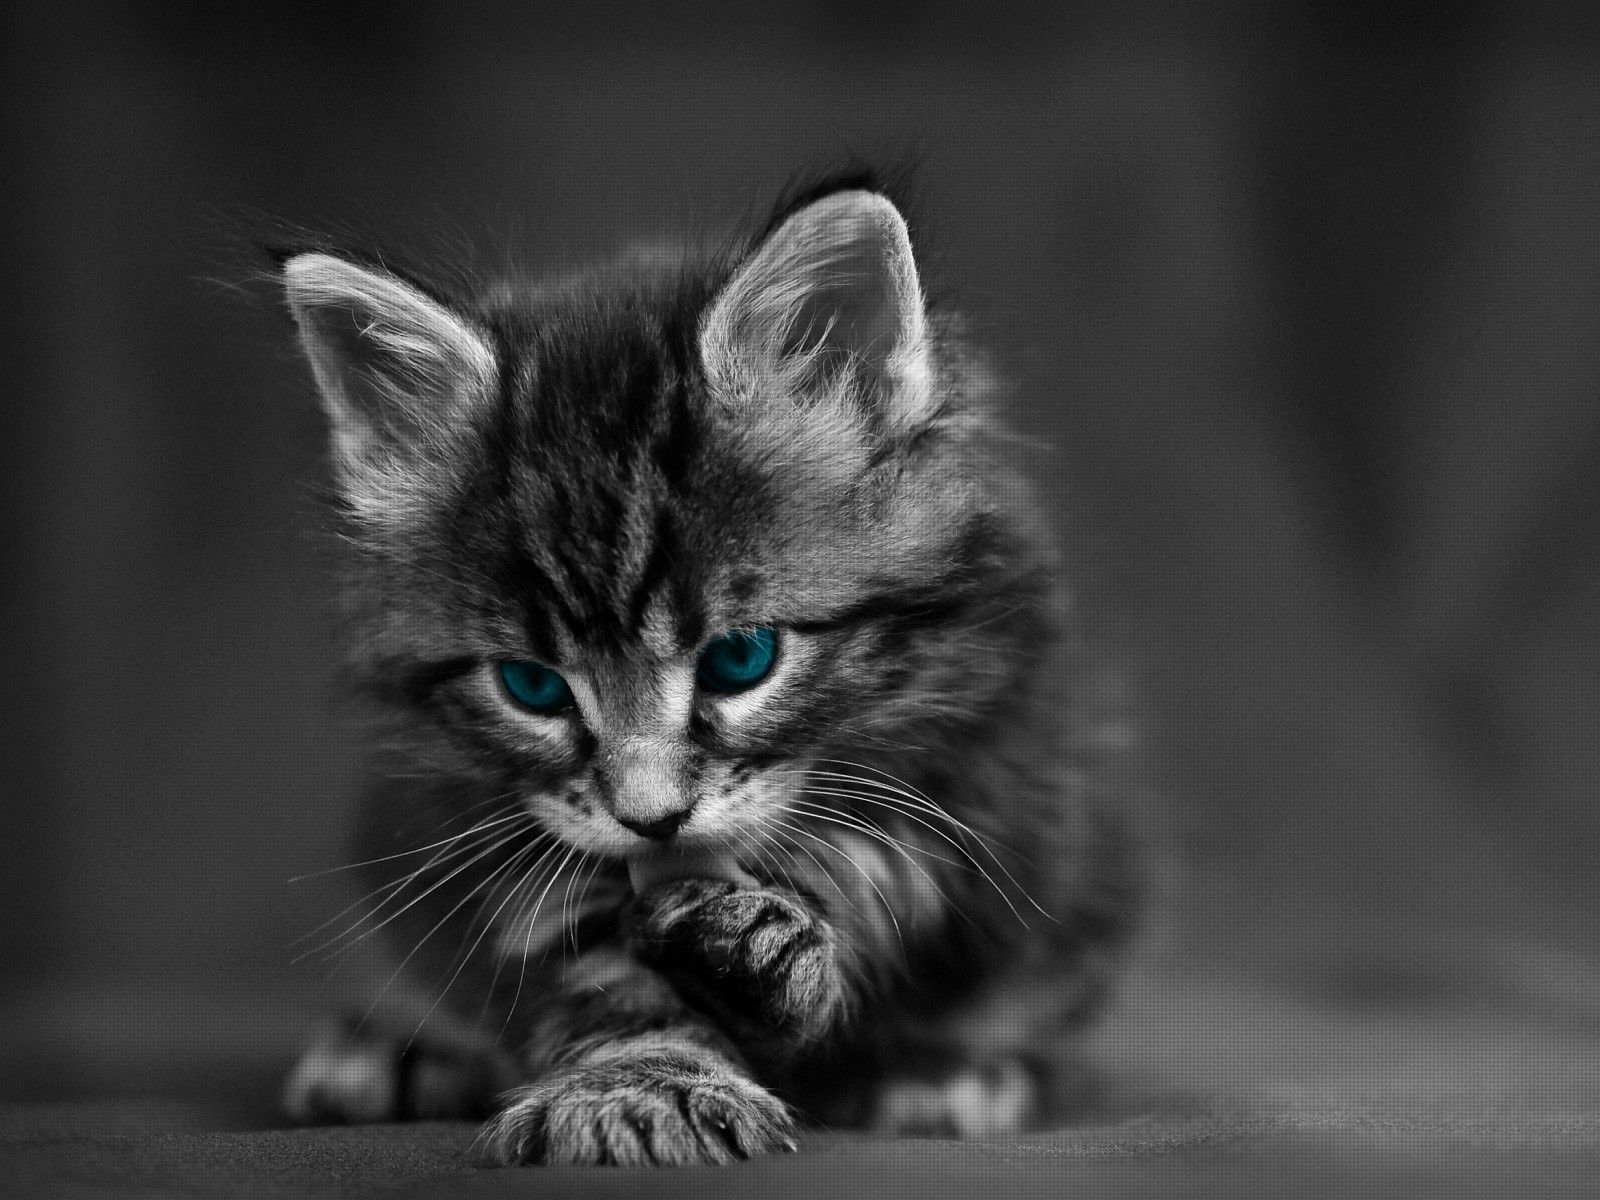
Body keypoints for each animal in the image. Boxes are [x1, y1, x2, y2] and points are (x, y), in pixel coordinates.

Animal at [275, 178, 1139, 1164]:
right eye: (532, 688)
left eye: (739, 658)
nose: (651, 820)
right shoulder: (489, 834)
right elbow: (596, 974)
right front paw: (642, 1083)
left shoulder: (978, 761)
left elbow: (880, 880)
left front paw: (763, 942)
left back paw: (944, 1072)